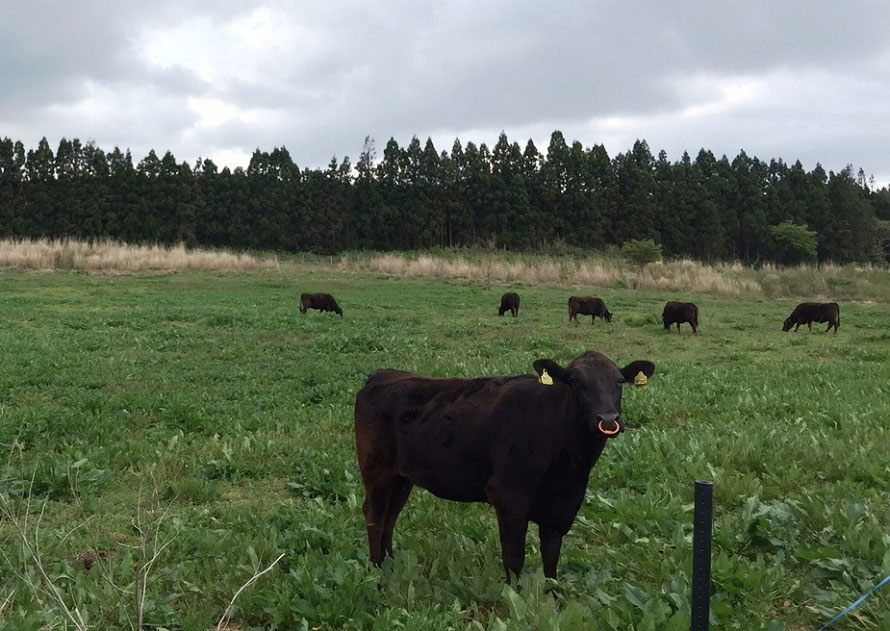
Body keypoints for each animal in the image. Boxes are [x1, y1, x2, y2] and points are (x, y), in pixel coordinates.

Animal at [352, 350, 652, 584]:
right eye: (576, 381)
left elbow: (551, 558)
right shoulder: (509, 496)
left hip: (402, 477)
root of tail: (383, 375)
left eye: (619, 381)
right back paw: (377, 570)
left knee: (391, 516)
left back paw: (390, 564)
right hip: (376, 469)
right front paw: (514, 597)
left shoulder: (564, 506)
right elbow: (514, 557)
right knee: (375, 515)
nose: (608, 419)